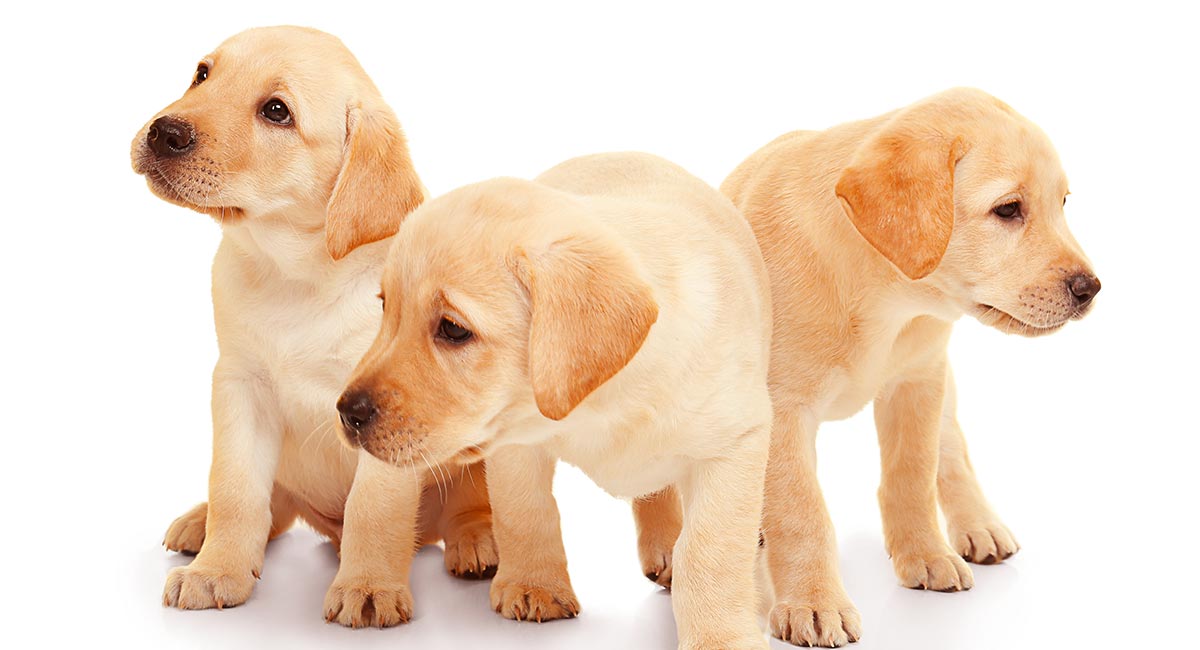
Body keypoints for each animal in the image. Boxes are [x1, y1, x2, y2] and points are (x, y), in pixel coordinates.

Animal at [126, 26, 492, 628]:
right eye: (202, 74)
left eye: (277, 111)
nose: (163, 132)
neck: (296, 275)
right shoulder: (239, 387)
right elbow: (236, 491)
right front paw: (217, 571)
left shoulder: (384, 402)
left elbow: (374, 508)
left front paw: (368, 587)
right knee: (268, 506)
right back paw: (200, 524)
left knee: (471, 498)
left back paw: (478, 540)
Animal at [336, 154, 777, 650]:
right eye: (385, 308)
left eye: (452, 329)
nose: (347, 413)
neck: (604, 400)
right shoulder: (515, 442)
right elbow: (525, 511)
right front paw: (535, 585)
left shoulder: (735, 444)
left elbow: (711, 549)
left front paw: (721, 636)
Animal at [696, 88, 1099, 647]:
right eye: (1008, 209)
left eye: (1062, 204)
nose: (1091, 289)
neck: (887, 296)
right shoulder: (783, 410)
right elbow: (801, 510)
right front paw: (814, 603)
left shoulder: (918, 383)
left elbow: (913, 474)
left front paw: (926, 556)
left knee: (952, 452)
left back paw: (979, 525)